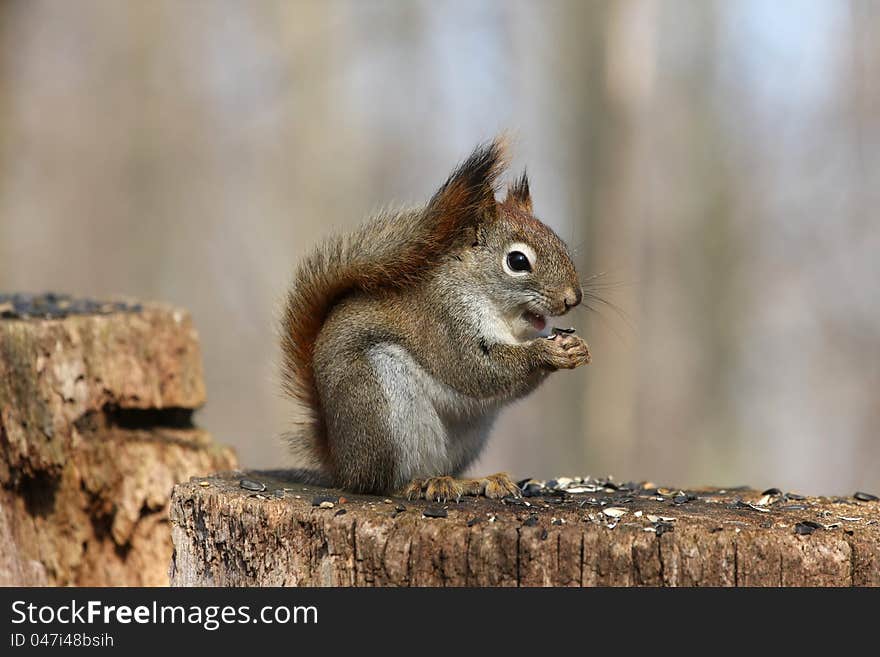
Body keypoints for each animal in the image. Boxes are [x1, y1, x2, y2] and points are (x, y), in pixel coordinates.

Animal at [282, 136, 592, 500]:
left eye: (561, 243)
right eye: (517, 261)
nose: (572, 298)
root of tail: (341, 464)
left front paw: (577, 348)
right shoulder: (444, 320)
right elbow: (475, 369)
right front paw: (545, 352)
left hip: (469, 435)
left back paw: (475, 481)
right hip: (381, 407)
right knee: (381, 482)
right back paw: (417, 484)